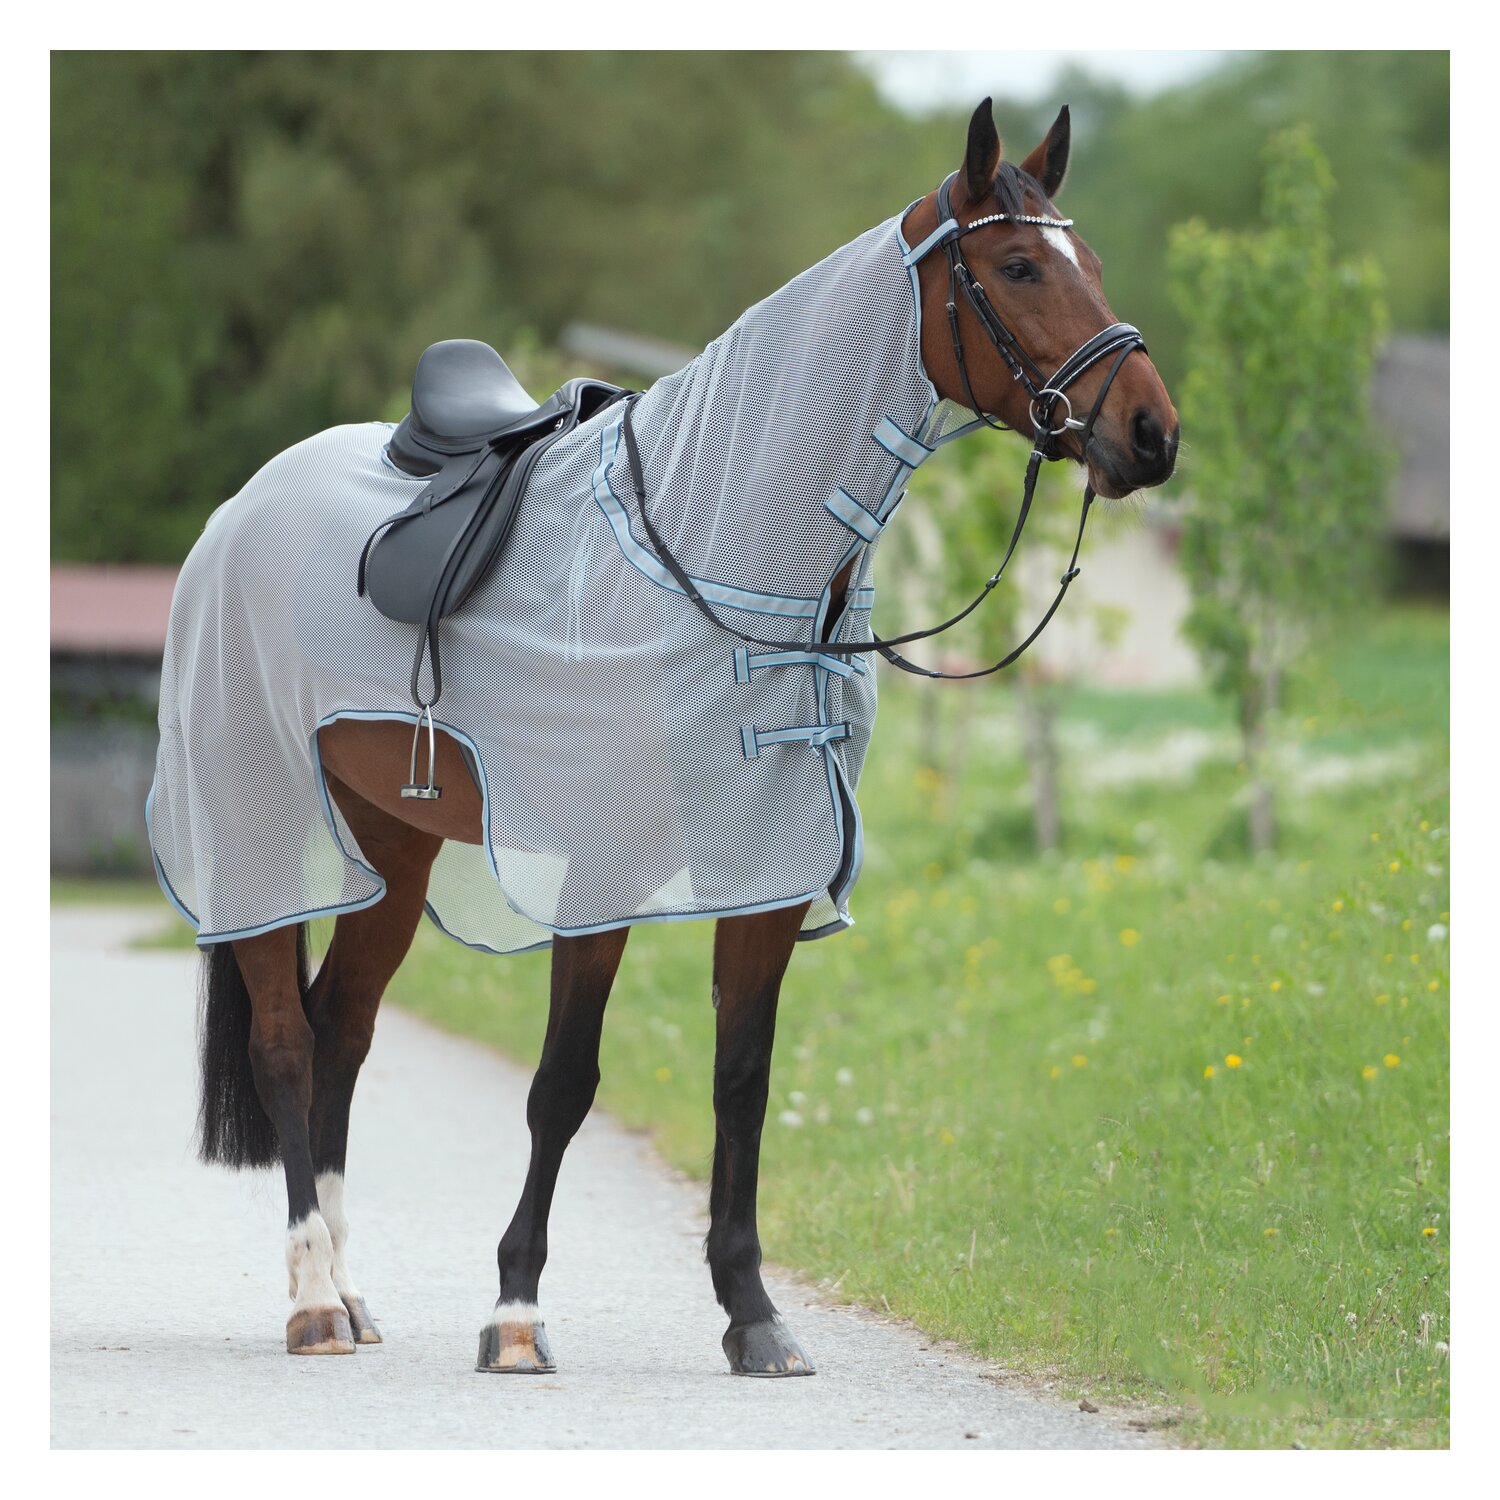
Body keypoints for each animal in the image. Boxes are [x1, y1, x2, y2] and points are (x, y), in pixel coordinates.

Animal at [150, 99, 1179, 1375]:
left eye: (1092, 264)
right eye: (1021, 267)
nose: (1153, 432)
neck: (713, 543)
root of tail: (241, 511)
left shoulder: (769, 872)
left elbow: (742, 1080)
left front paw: (753, 1313)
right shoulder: (600, 868)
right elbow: (562, 1083)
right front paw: (516, 1315)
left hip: (392, 843)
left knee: (343, 1032)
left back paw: (352, 1289)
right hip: (255, 818)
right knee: (288, 1045)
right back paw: (311, 1304)